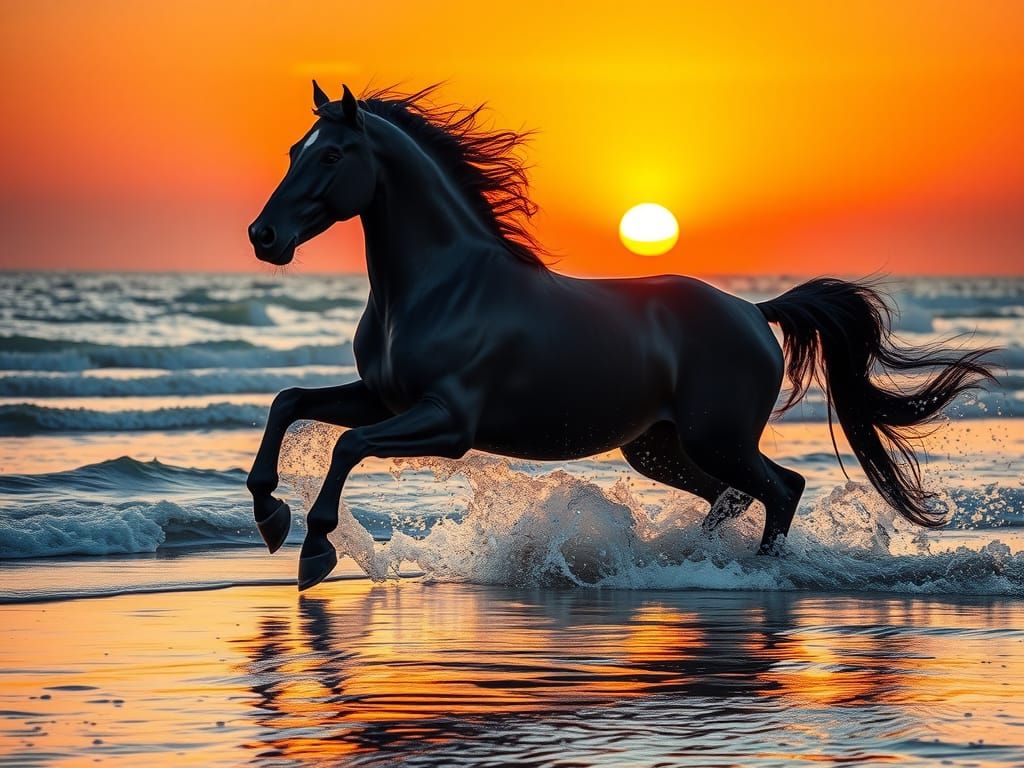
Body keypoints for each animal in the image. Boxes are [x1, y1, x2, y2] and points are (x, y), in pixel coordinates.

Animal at [246, 82, 996, 591]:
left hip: (716, 438)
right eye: (294, 150)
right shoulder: (384, 398)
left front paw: (314, 549)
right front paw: (270, 515)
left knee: (782, 487)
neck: (440, 287)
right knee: (733, 496)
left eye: (333, 154)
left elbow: (347, 445)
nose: (264, 236)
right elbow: (289, 403)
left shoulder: (448, 421)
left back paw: (753, 575)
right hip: (659, 448)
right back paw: (692, 560)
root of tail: (754, 313)